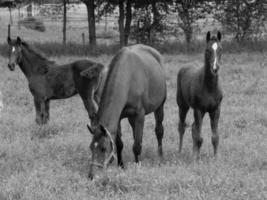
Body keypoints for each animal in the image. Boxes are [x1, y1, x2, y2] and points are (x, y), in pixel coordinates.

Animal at [84, 43, 168, 178]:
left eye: (103, 148)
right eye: (91, 147)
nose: (92, 175)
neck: (128, 78)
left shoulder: (140, 115)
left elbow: (137, 145)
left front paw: (138, 166)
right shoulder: (119, 117)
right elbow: (119, 143)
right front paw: (121, 165)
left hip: (159, 107)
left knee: (159, 131)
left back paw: (160, 156)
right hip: (131, 118)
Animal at [178, 31, 224, 159]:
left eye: (220, 49)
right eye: (208, 50)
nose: (215, 68)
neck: (209, 87)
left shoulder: (215, 110)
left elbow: (215, 137)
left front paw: (216, 158)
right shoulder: (198, 110)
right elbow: (199, 138)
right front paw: (197, 159)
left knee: (193, 127)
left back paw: (193, 151)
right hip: (183, 106)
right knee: (182, 127)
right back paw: (180, 151)